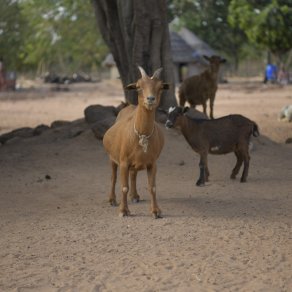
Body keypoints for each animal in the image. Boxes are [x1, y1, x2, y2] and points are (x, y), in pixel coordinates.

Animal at [102, 65, 169, 217]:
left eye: (160, 87)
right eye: (138, 86)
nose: (151, 99)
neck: (142, 134)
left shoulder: (152, 163)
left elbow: (152, 187)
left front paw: (155, 211)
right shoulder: (123, 162)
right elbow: (124, 186)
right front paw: (123, 210)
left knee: (133, 174)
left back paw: (134, 196)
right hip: (112, 158)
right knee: (113, 177)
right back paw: (112, 200)